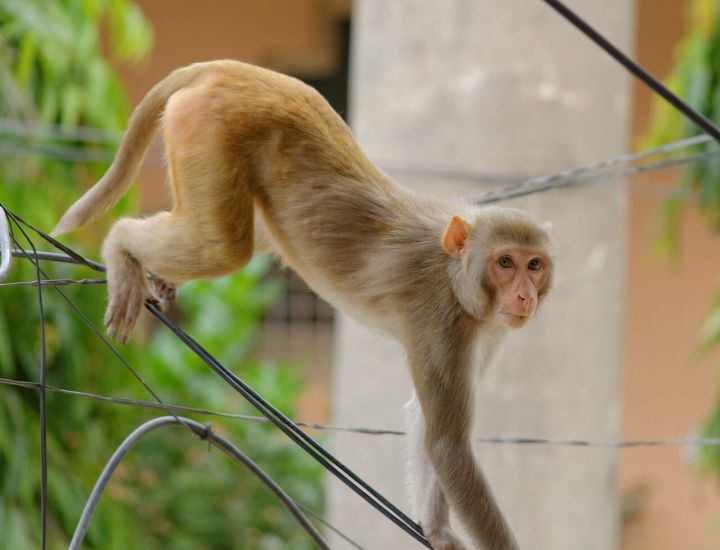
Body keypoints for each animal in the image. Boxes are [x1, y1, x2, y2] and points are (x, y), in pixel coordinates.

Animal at [52, 60, 554, 550]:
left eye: (535, 265)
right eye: (505, 263)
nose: (524, 295)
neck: (456, 276)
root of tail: (232, 70)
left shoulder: (483, 330)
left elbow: (424, 421)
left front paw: (438, 533)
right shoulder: (442, 318)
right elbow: (448, 444)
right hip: (209, 129)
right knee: (224, 246)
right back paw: (121, 248)